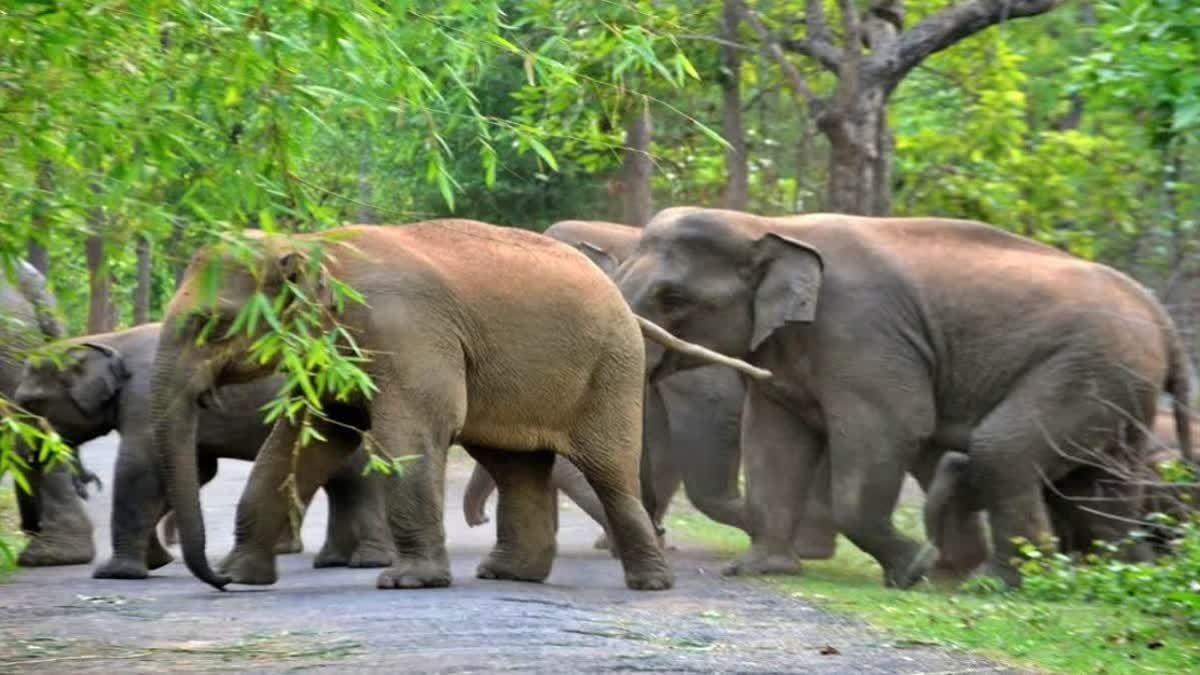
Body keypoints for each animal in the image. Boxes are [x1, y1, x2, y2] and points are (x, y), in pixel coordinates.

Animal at [15, 322, 397, 579]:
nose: (24, 550)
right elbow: (192, 472)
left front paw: (114, 574)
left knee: (354, 476)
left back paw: (368, 562)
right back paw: (333, 560)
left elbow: (138, 468)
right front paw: (156, 562)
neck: (109, 339)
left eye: (31, 403)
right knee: (343, 480)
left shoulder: (144, 397)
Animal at [150, 220, 758, 592]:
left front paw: (407, 582)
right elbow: (307, 439)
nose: (215, 579)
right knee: (514, 466)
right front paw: (245, 576)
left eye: (211, 323)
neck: (314, 243)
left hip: (610, 368)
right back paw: (509, 575)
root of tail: (622, 300)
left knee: (607, 469)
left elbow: (414, 431)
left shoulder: (407, 335)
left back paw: (649, 583)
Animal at [611, 206, 1194, 588]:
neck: (768, 224)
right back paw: (1114, 574)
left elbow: (891, 430)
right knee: (1099, 481)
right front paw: (758, 571)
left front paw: (912, 571)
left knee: (1005, 450)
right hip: (1119, 386)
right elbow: (773, 444)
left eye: (672, 297)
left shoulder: (862, 333)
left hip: (1090, 364)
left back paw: (997, 584)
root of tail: (1160, 314)